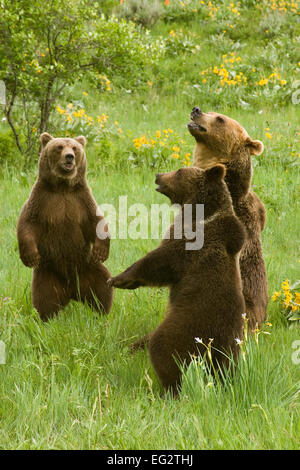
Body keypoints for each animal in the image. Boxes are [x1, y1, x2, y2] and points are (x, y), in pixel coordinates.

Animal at [17, 134, 113, 322]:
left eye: (74, 148)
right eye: (59, 147)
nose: (70, 157)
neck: (63, 187)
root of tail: (72, 292)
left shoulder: (81, 200)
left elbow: (96, 221)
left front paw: (101, 251)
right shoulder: (41, 200)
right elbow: (27, 223)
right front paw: (30, 256)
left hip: (89, 267)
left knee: (102, 288)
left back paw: (102, 315)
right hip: (47, 273)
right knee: (44, 298)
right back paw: (47, 319)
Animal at [108, 163, 246, 394]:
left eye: (180, 170)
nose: (158, 175)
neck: (200, 213)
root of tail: (213, 345)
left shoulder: (192, 244)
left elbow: (160, 262)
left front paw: (119, 279)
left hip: (188, 326)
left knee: (164, 350)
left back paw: (167, 389)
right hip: (231, 347)